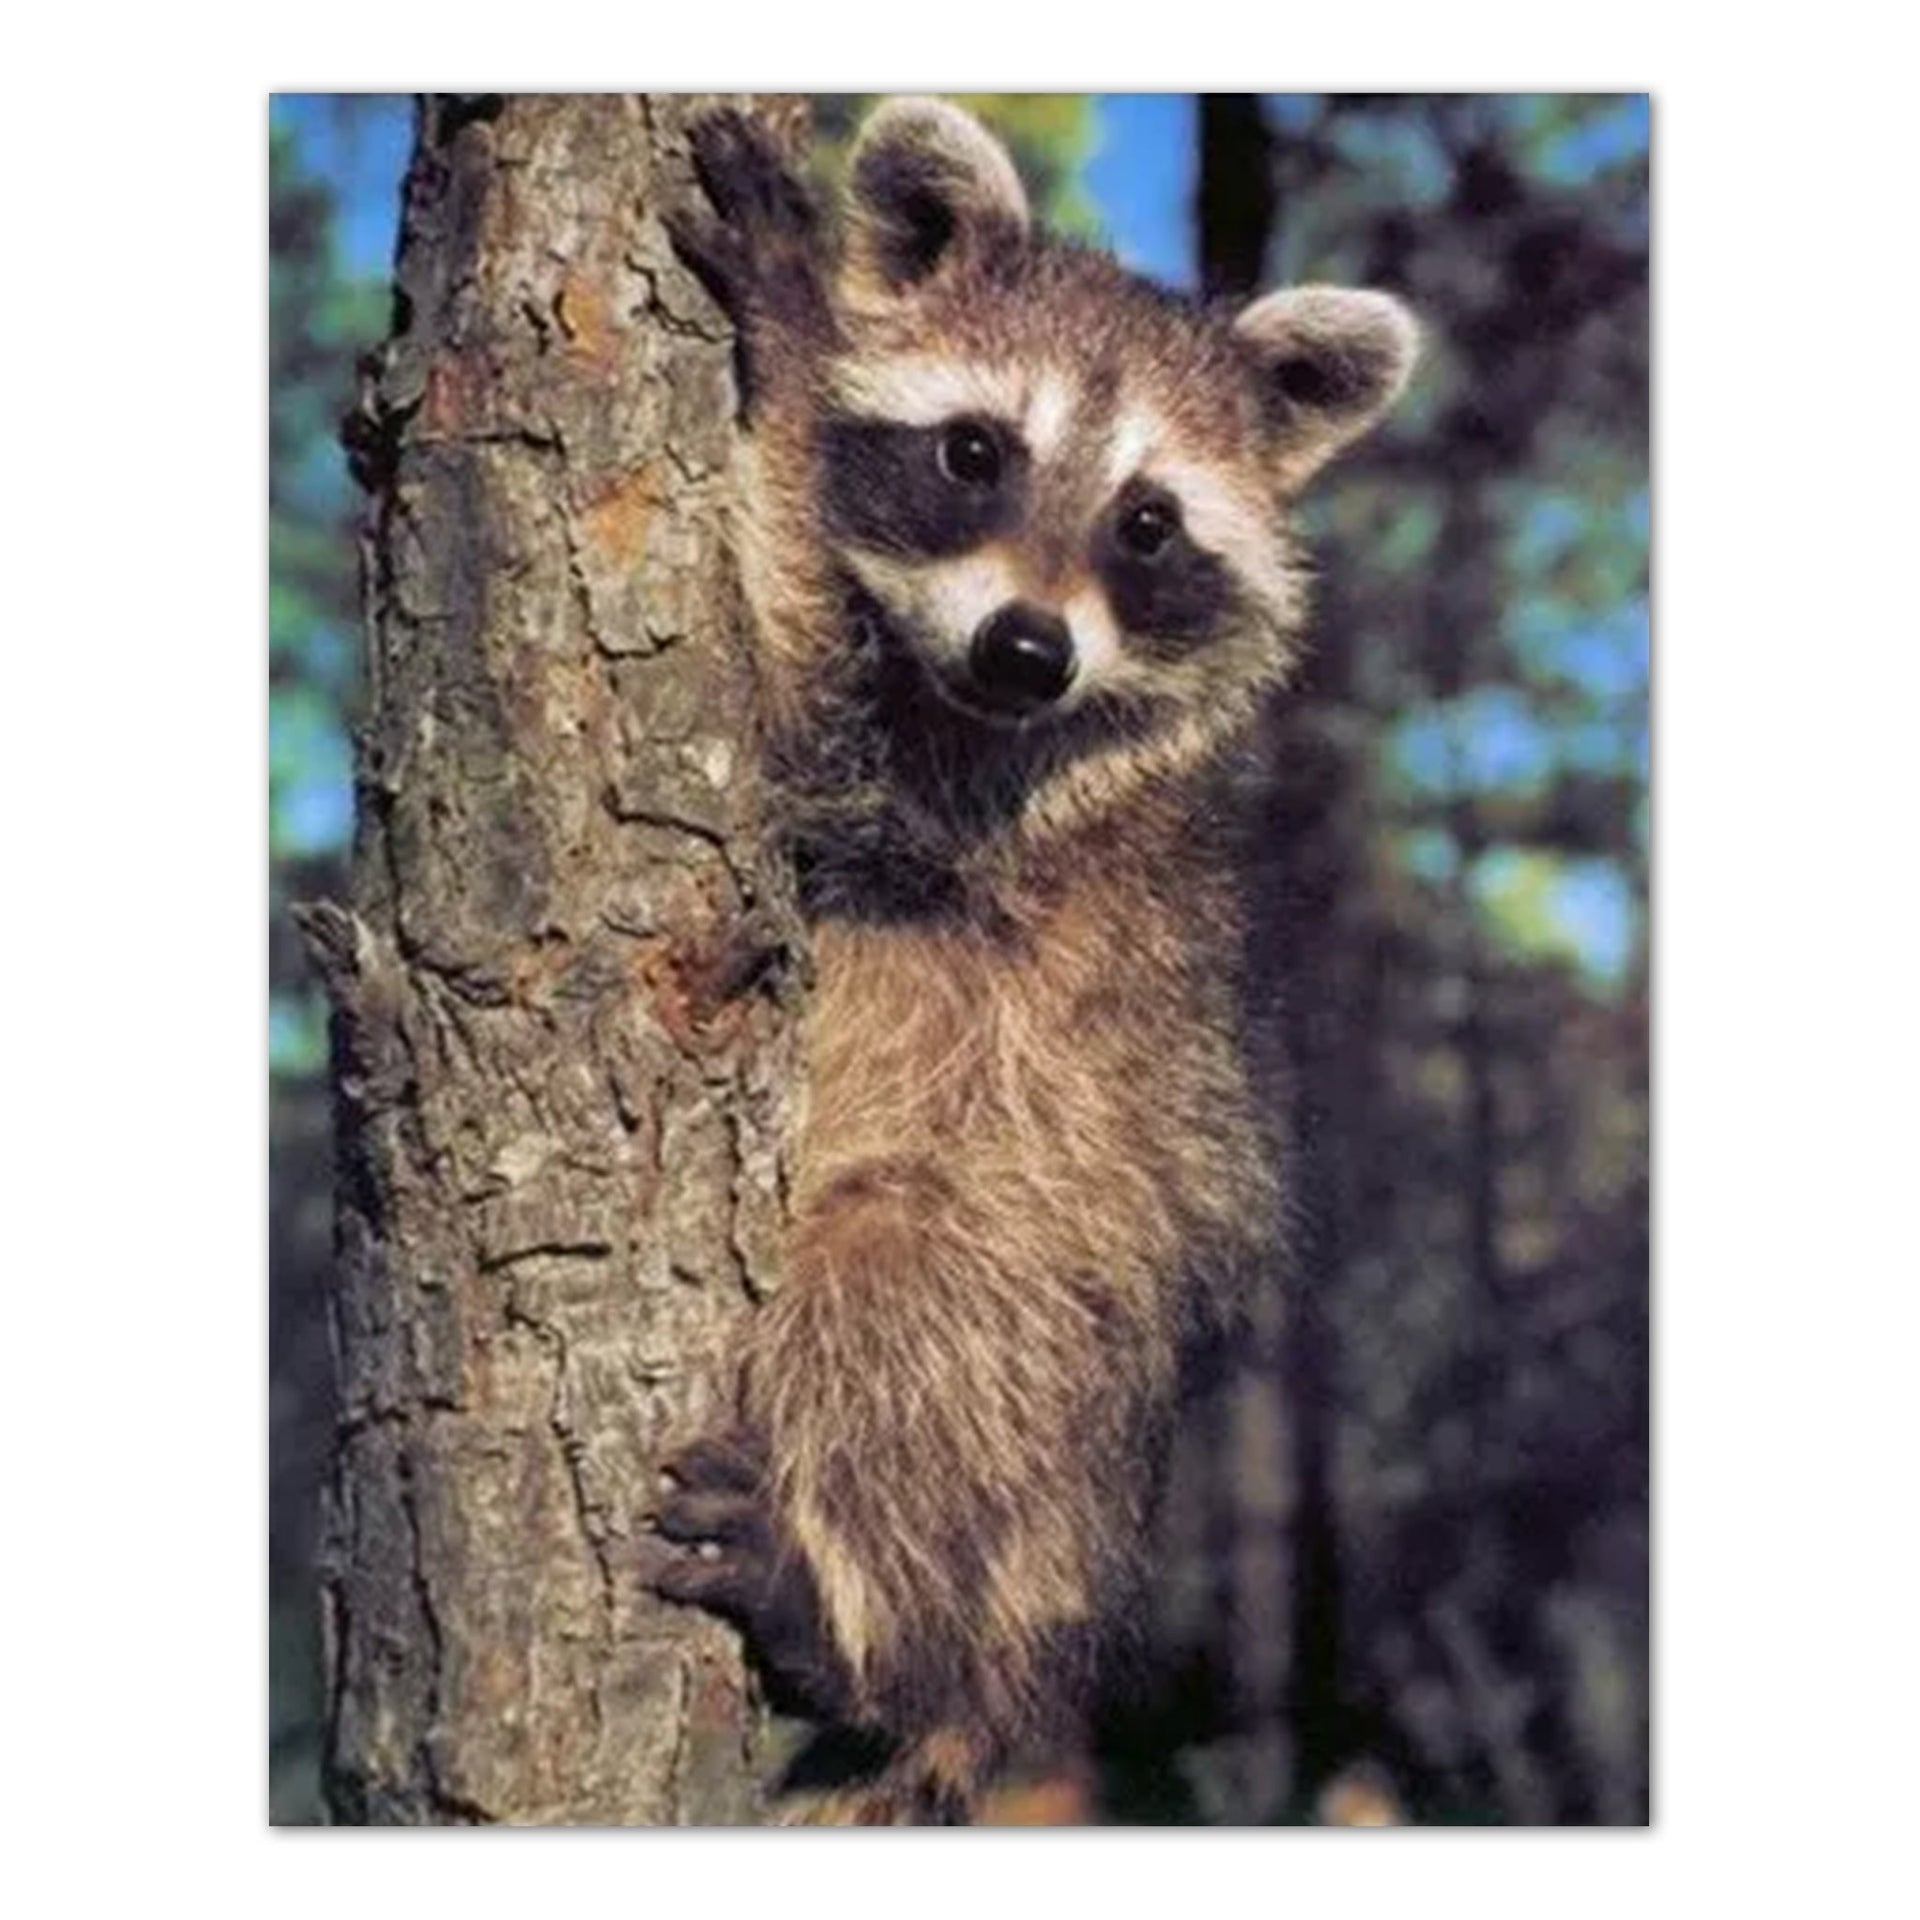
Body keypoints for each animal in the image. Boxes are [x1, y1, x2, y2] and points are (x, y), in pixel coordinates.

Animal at [641, 97, 1418, 1824]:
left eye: (1149, 523)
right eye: (975, 451)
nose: (1026, 650)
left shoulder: (998, 810)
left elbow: (802, 724)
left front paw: (791, 344)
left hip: (1050, 1340)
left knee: (894, 1296)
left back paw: (866, 1640)